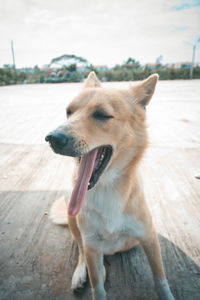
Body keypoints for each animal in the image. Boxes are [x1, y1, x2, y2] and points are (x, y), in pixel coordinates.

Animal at [45, 72, 173, 300]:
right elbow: (98, 288)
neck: (107, 190)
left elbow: (160, 279)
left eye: (102, 115)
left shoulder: (149, 238)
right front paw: (92, 278)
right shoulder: (91, 244)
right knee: (82, 252)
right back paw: (82, 273)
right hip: (73, 220)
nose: (52, 138)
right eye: (69, 112)